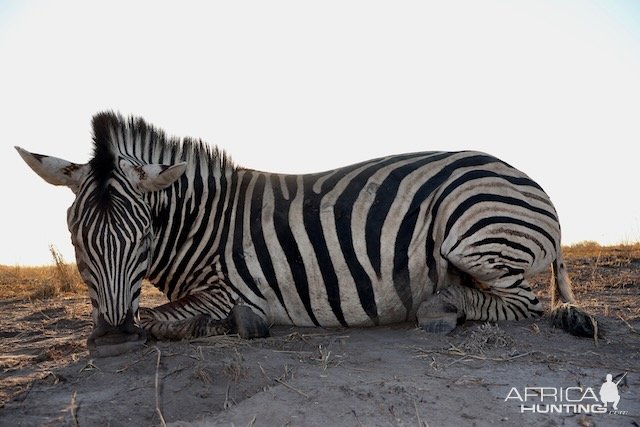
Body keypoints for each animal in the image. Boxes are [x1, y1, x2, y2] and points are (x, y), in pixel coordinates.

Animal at [15, 112, 596, 356]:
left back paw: (439, 307)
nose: (114, 340)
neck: (202, 221)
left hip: (471, 232)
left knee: (523, 303)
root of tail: (522, 175)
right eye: (76, 241)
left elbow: (161, 318)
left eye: (143, 239)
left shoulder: (230, 285)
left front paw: (238, 324)